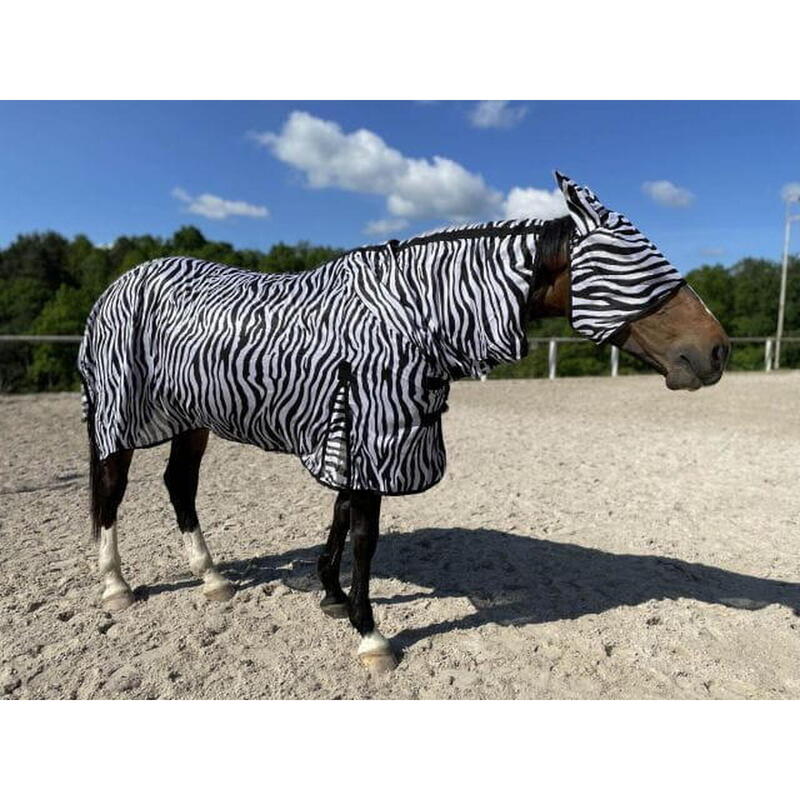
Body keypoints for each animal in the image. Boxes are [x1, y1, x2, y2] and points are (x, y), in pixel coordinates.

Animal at [78, 172, 729, 673]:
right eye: (640, 264)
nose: (716, 350)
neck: (410, 316)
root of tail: (117, 285)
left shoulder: (355, 437)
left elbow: (341, 517)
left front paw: (332, 595)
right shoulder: (368, 433)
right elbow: (365, 536)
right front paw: (370, 636)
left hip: (192, 419)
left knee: (179, 486)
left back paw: (211, 578)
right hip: (120, 414)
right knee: (113, 489)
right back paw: (115, 587)